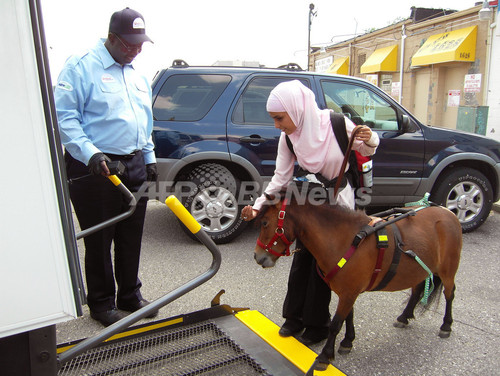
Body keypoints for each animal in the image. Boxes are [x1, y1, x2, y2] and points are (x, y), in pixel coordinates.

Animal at [256, 192, 462, 372]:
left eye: (265, 223)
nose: (258, 257)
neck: (345, 239)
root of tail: (448, 212)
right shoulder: (349, 292)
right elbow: (349, 317)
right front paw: (348, 341)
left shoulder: (348, 293)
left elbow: (336, 324)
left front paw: (325, 356)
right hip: (419, 269)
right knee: (417, 290)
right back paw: (405, 316)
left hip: (447, 271)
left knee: (449, 294)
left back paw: (446, 325)